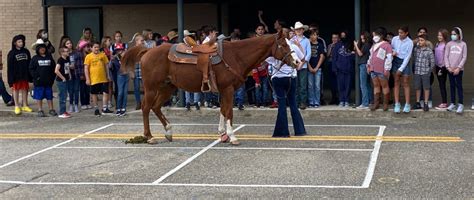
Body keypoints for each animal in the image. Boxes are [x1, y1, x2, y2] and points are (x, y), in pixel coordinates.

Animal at [120, 32, 294, 145]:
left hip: (167, 87)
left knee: (155, 107)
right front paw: (232, 137)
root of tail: (147, 51)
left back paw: (168, 131)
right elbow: (229, 112)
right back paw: (149, 137)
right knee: (146, 107)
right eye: (284, 45)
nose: (297, 62)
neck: (236, 55)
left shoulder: (224, 90)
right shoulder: (228, 89)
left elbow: (223, 110)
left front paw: (223, 134)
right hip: (151, 87)